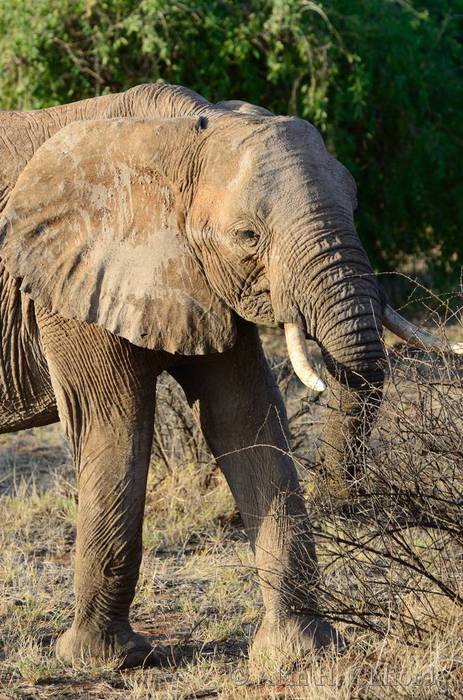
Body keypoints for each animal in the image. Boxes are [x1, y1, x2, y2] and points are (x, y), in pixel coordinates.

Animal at [0, 81, 460, 669]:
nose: (344, 500)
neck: (178, 133)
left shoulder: (199, 278)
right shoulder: (68, 282)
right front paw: (103, 659)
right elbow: (115, 427)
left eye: (355, 207)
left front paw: (300, 652)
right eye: (247, 235)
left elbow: (247, 421)